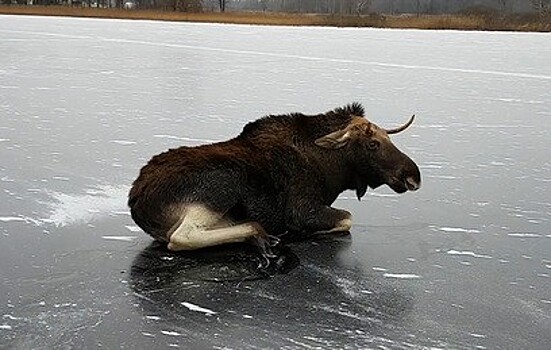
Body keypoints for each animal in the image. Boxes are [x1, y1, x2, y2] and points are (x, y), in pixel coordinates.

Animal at [129, 104, 422, 262]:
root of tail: (137, 203)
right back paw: (258, 233)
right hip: (220, 187)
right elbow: (348, 218)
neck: (331, 170)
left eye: (388, 138)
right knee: (182, 236)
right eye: (373, 143)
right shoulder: (302, 210)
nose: (413, 176)